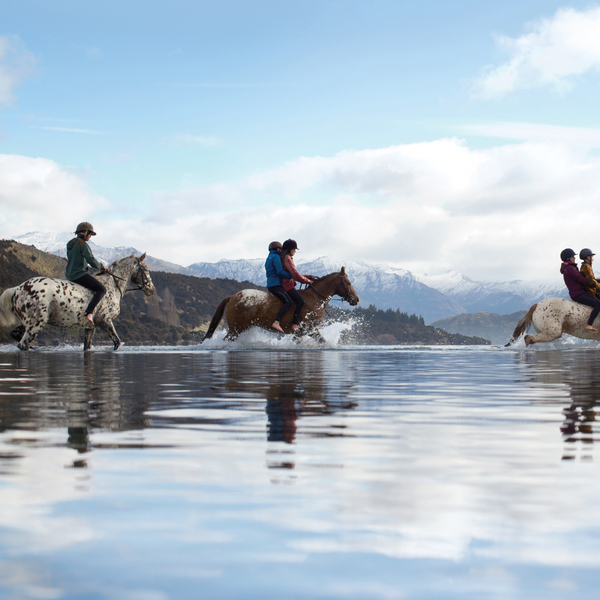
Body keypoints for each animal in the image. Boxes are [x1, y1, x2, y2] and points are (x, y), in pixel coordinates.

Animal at [0, 253, 155, 352]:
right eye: (145, 270)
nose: (151, 290)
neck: (112, 286)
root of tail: (18, 288)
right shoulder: (105, 321)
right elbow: (117, 343)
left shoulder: (90, 327)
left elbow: (87, 347)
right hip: (36, 323)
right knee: (23, 344)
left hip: (26, 322)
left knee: (16, 335)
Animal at [202, 268, 360, 342]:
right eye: (348, 283)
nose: (356, 299)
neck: (315, 298)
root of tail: (232, 297)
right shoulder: (309, 329)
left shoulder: (304, 333)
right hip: (236, 329)